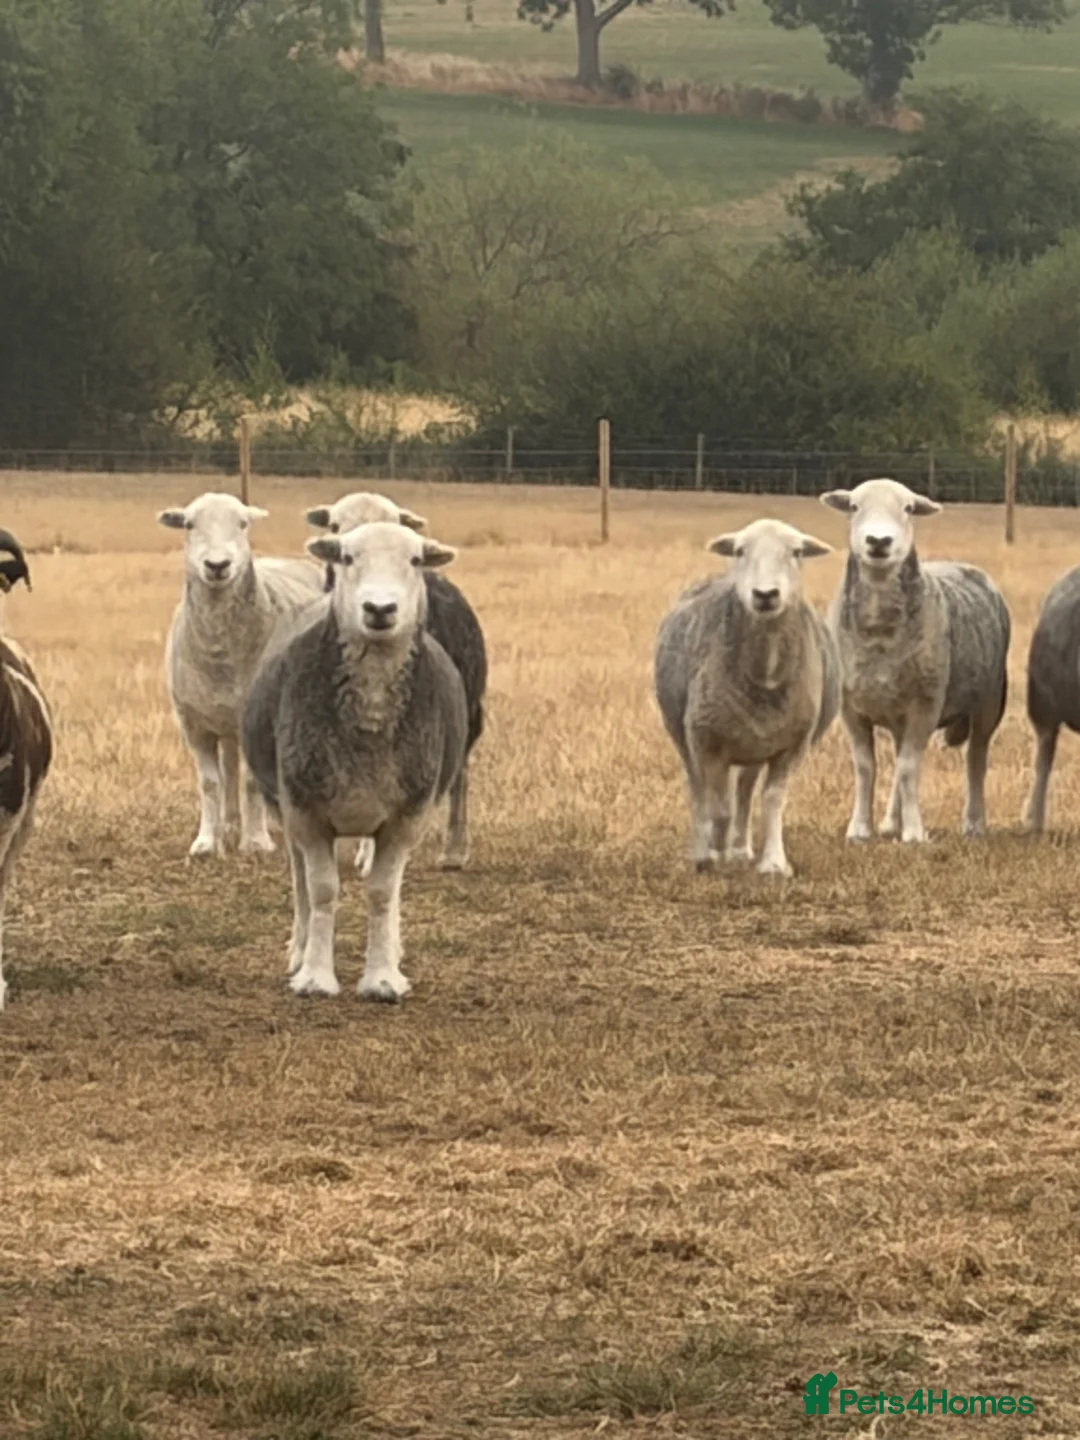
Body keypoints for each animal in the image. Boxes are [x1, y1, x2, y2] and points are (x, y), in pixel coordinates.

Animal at [159, 492, 324, 858]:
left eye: (243, 523)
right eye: (189, 524)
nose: (217, 565)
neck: (219, 653)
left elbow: (252, 781)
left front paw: (256, 841)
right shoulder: (194, 724)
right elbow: (210, 782)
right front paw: (207, 842)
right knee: (231, 766)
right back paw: (231, 822)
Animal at [240, 521, 468, 1001]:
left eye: (415, 560)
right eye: (347, 557)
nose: (379, 608)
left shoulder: (407, 815)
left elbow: (382, 892)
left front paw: (382, 977)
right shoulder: (305, 809)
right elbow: (322, 890)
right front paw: (314, 976)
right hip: (282, 803)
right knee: (300, 880)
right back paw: (299, 948)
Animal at [654, 518, 838, 877]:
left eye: (797, 552)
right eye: (739, 551)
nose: (765, 594)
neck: (765, 670)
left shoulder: (794, 743)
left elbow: (771, 799)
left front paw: (774, 863)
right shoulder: (706, 739)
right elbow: (718, 806)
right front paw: (715, 851)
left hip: (754, 741)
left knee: (745, 790)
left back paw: (741, 849)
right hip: (683, 734)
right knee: (699, 791)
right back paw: (705, 851)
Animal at [821, 479, 1010, 843]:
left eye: (908, 508)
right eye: (853, 506)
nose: (879, 541)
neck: (878, 636)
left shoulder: (926, 704)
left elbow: (910, 769)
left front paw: (913, 833)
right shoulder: (850, 709)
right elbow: (866, 768)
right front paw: (860, 829)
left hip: (989, 701)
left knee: (975, 760)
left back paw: (974, 823)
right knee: (899, 761)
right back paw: (890, 823)